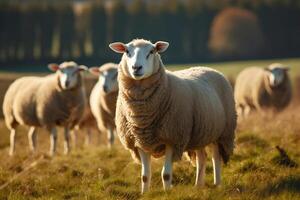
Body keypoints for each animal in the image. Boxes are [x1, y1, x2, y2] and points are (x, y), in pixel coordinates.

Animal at [109, 38, 238, 193]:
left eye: (152, 51)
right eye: (127, 51)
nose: (136, 68)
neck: (142, 115)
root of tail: (207, 67)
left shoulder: (173, 138)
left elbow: (166, 174)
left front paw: (167, 193)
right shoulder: (139, 141)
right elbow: (145, 176)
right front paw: (144, 193)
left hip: (222, 132)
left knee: (215, 158)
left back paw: (217, 184)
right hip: (201, 132)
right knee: (202, 157)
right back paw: (198, 185)